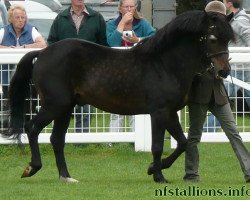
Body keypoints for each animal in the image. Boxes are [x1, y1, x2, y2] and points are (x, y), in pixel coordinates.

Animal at [2, 10, 234, 183]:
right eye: (213, 38)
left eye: (228, 39)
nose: (224, 71)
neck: (164, 63)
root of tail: (42, 53)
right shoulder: (159, 113)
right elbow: (157, 146)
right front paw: (158, 176)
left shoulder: (170, 113)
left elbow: (183, 143)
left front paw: (153, 168)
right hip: (54, 105)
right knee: (32, 128)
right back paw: (32, 168)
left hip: (65, 108)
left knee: (56, 139)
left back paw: (66, 177)